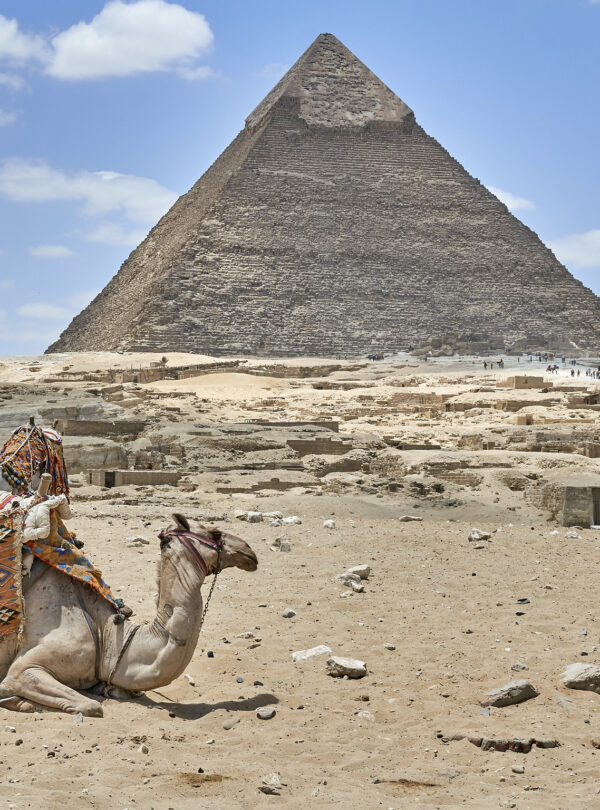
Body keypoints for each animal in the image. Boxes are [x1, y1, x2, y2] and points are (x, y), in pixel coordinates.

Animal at [0, 514, 258, 716]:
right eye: (215, 533)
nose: (249, 551)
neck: (107, 636)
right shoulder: (24, 669)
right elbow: (92, 706)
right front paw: (11, 697)